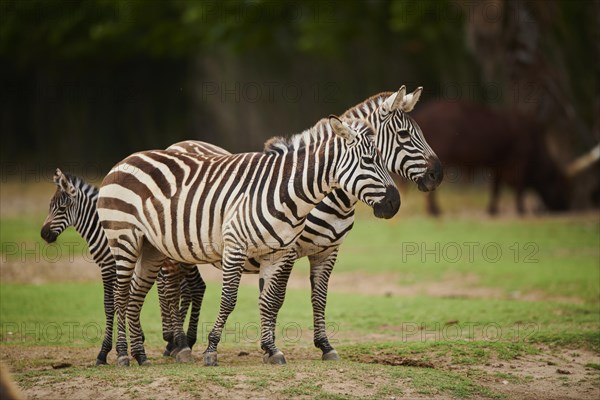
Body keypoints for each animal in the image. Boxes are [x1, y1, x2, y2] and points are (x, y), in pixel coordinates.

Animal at [97, 115, 398, 366]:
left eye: (384, 158)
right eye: (369, 161)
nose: (394, 204)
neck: (287, 192)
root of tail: (126, 159)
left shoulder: (278, 252)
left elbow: (271, 300)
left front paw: (273, 350)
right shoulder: (236, 247)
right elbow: (229, 300)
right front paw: (211, 351)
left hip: (152, 247)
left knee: (136, 293)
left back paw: (140, 355)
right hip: (124, 239)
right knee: (122, 294)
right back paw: (126, 354)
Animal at [161, 84, 440, 362]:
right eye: (404, 135)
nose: (438, 175)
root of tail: (179, 143)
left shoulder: (328, 251)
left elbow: (318, 297)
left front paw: (323, 345)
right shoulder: (288, 250)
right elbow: (276, 298)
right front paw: (270, 347)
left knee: (190, 286)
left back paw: (180, 341)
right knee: (170, 284)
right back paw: (177, 343)